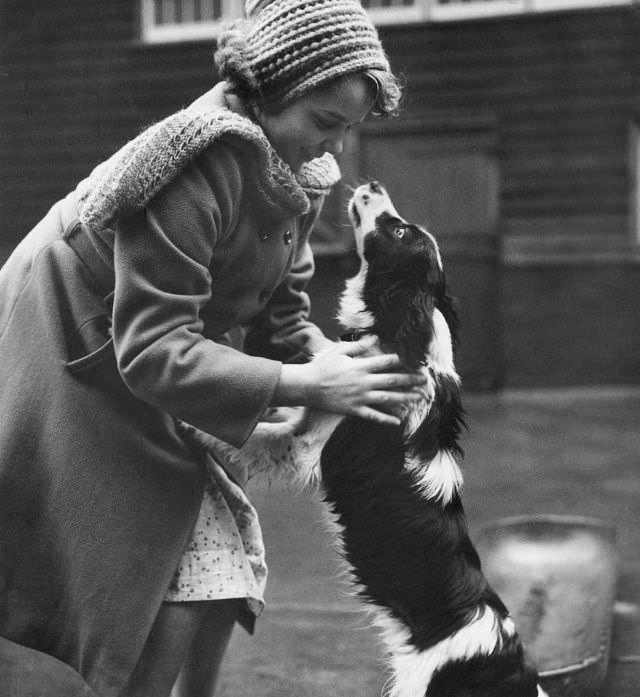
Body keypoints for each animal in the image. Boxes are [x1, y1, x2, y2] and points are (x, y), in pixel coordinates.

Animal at [194, 184, 544, 696]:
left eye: (397, 231)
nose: (372, 185)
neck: (400, 337)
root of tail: (508, 665)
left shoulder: (305, 445)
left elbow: (249, 436)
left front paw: (181, 421)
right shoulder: (307, 412)